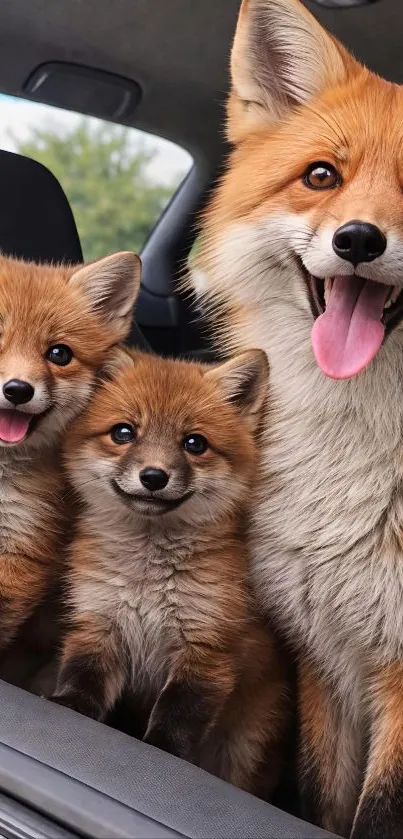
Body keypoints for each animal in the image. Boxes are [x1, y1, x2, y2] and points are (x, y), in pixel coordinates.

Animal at [51, 347, 289, 798]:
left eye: (194, 443)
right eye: (123, 433)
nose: (153, 476)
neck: (146, 580)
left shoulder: (206, 650)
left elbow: (176, 720)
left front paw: (161, 754)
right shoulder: (98, 624)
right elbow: (80, 684)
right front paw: (63, 709)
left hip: (242, 751)